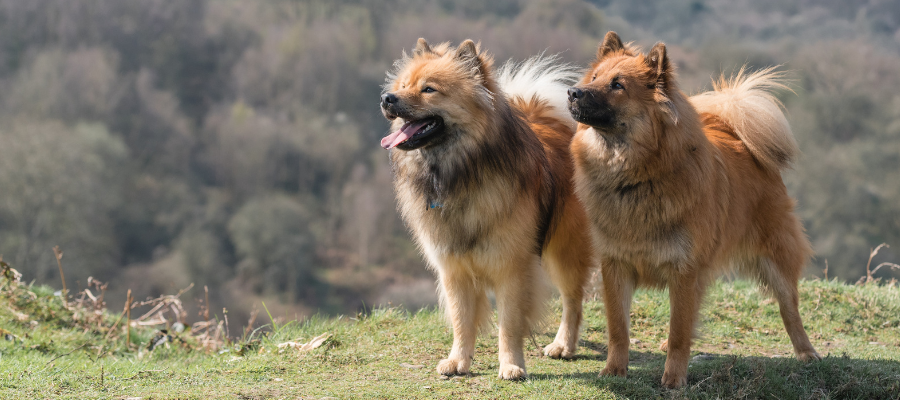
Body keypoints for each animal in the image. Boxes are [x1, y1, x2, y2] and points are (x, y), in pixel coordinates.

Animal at [378, 39, 596, 380]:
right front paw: (458, 361)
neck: (460, 174)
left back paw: (564, 345)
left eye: (428, 89)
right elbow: (461, 321)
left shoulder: (512, 268)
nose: (387, 98)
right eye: (402, 86)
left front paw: (511, 365)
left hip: (565, 250)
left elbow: (510, 324)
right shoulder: (453, 269)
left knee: (573, 300)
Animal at [568, 32, 824, 390]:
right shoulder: (616, 265)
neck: (637, 177)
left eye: (617, 85)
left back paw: (806, 352)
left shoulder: (683, 269)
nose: (573, 92)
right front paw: (614, 370)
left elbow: (679, 331)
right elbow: (619, 328)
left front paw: (674, 378)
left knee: (790, 309)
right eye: (594, 78)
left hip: (776, 260)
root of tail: (739, 137)